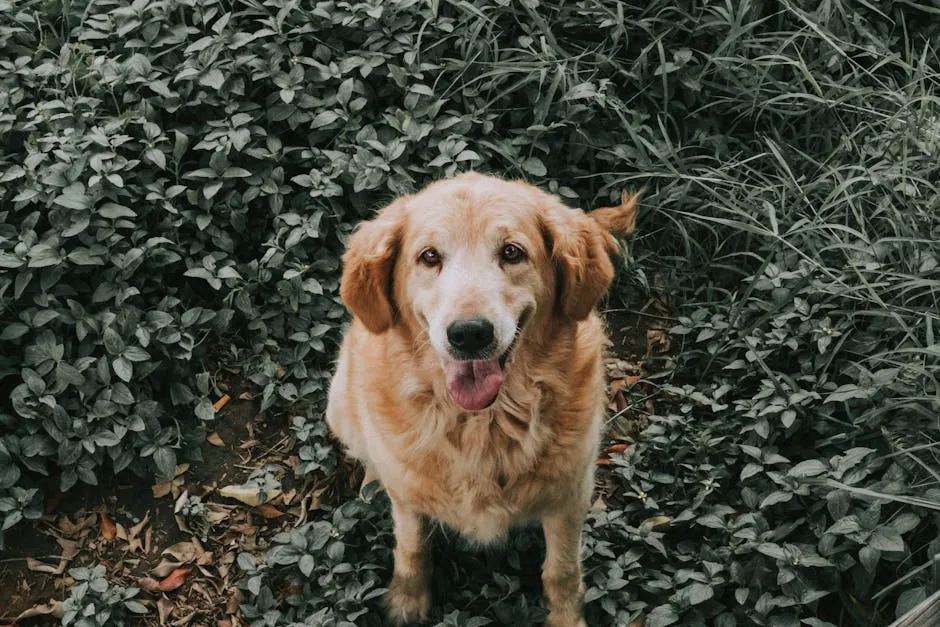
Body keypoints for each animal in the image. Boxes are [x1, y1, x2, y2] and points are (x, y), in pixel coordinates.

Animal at [324, 173, 640, 627]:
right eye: (429, 256)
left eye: (511, 252)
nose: (469, 334)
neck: (482, 425)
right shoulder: (409, 504)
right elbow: (412, 547)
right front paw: (407, 601)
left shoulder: (569, 497)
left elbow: (562, 570)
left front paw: (566, 617)